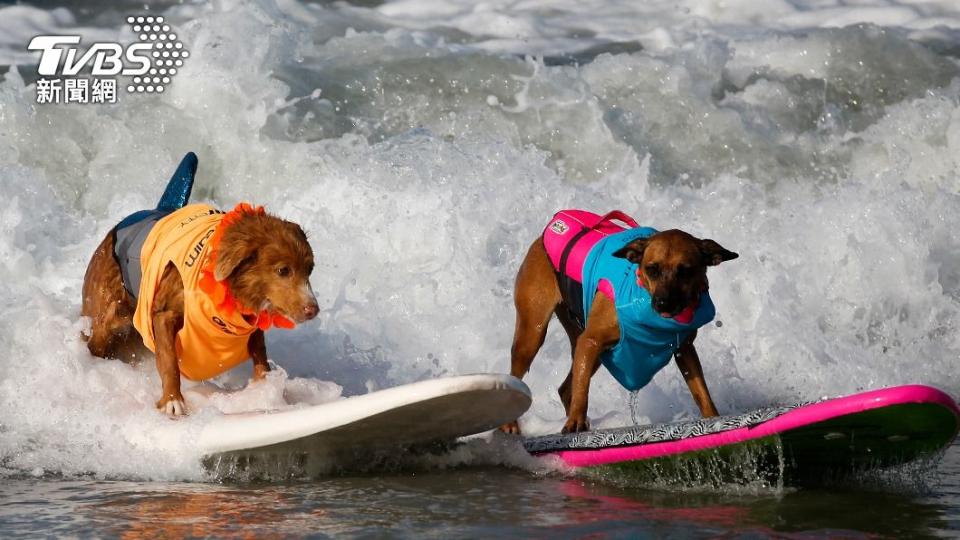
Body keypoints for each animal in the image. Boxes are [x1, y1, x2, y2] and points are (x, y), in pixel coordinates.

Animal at [80, 154, 316, 416]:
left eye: (310, 269)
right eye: (283, 270)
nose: (313, 309)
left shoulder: (253, 328)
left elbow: (260, 357)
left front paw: (266, 392)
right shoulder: (164, 314)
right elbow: (169, 361)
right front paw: (172, 400)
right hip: (107, 313)